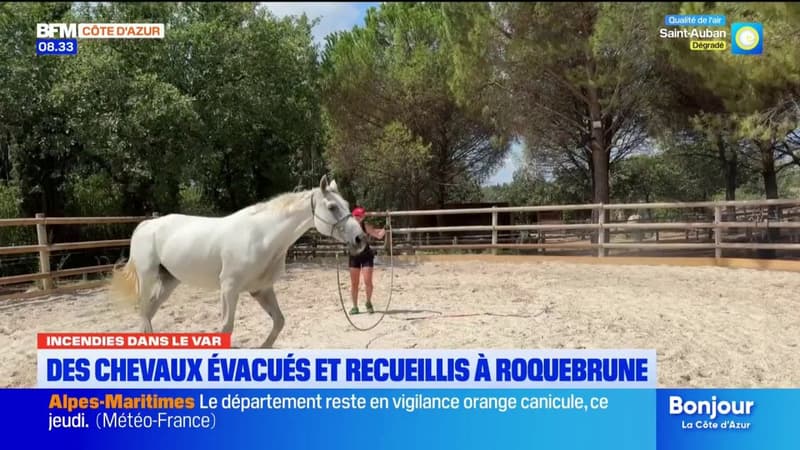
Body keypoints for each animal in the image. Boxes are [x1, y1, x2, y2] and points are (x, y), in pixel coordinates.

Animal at [109, 175, 367, 348]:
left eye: (346, 205)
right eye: (332, 207)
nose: (360, 239)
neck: (262, 237)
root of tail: (146, 225)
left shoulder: (261, 289)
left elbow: (279, 322)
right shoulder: (229, 288)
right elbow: (226, 328)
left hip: (169, 281)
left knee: (148, 313)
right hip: (147, 277)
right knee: (144, 312)